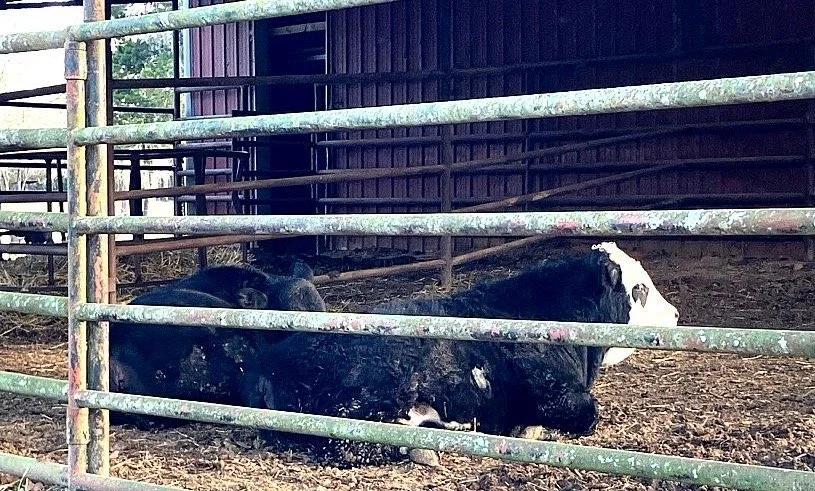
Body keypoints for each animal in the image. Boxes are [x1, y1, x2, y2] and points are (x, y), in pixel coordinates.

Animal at [247, 242, 679, 467]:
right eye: (639, 289)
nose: (675, 314)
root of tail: (271, 360)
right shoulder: (557, 394)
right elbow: (586, 414)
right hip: (366, 401)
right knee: (355, 442)